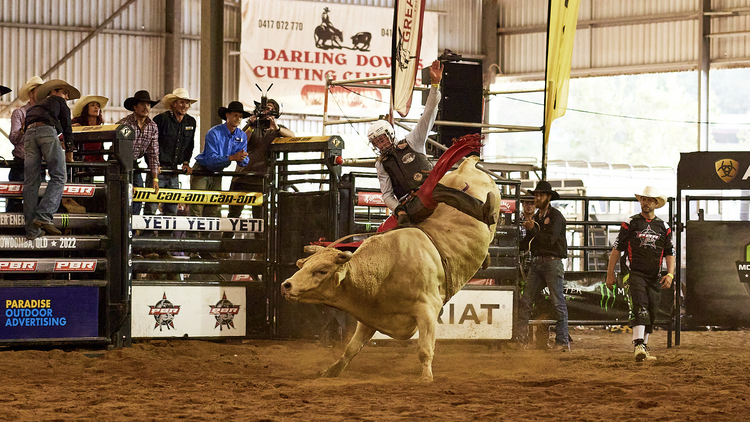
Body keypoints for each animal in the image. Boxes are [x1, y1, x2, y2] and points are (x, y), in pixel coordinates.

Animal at [280, 156, 500, 382]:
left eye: (322, 271)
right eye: (305, 265)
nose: (286, 285)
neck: (387, 269)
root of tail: (466, 166)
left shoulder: (428, 309)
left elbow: (424, 349)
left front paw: (426, 377)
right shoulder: (370, 317)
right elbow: (351, 348)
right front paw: (332, 370)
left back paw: (487, 212)